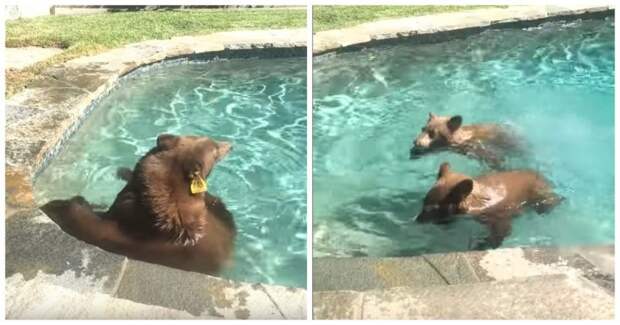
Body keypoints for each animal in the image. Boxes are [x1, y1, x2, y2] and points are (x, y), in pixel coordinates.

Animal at [416, 162, 560, 248]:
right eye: (424, 202)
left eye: (435, 208)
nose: (417, 220)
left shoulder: (499, 215)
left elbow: (502, 231)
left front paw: (482, 244)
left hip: (540, 191)